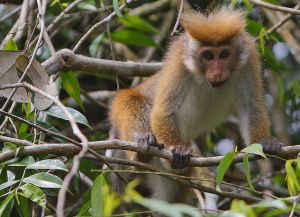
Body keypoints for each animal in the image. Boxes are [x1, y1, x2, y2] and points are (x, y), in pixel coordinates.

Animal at [108, 7, 282, 212]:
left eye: (224, 54)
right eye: (208, 56)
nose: (217, 72)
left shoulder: (248, 60)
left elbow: (251, 106)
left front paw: (263, 142)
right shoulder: (179, 61)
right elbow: (164, 110)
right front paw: (176, 149)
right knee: (131, 100)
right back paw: (143, 148)